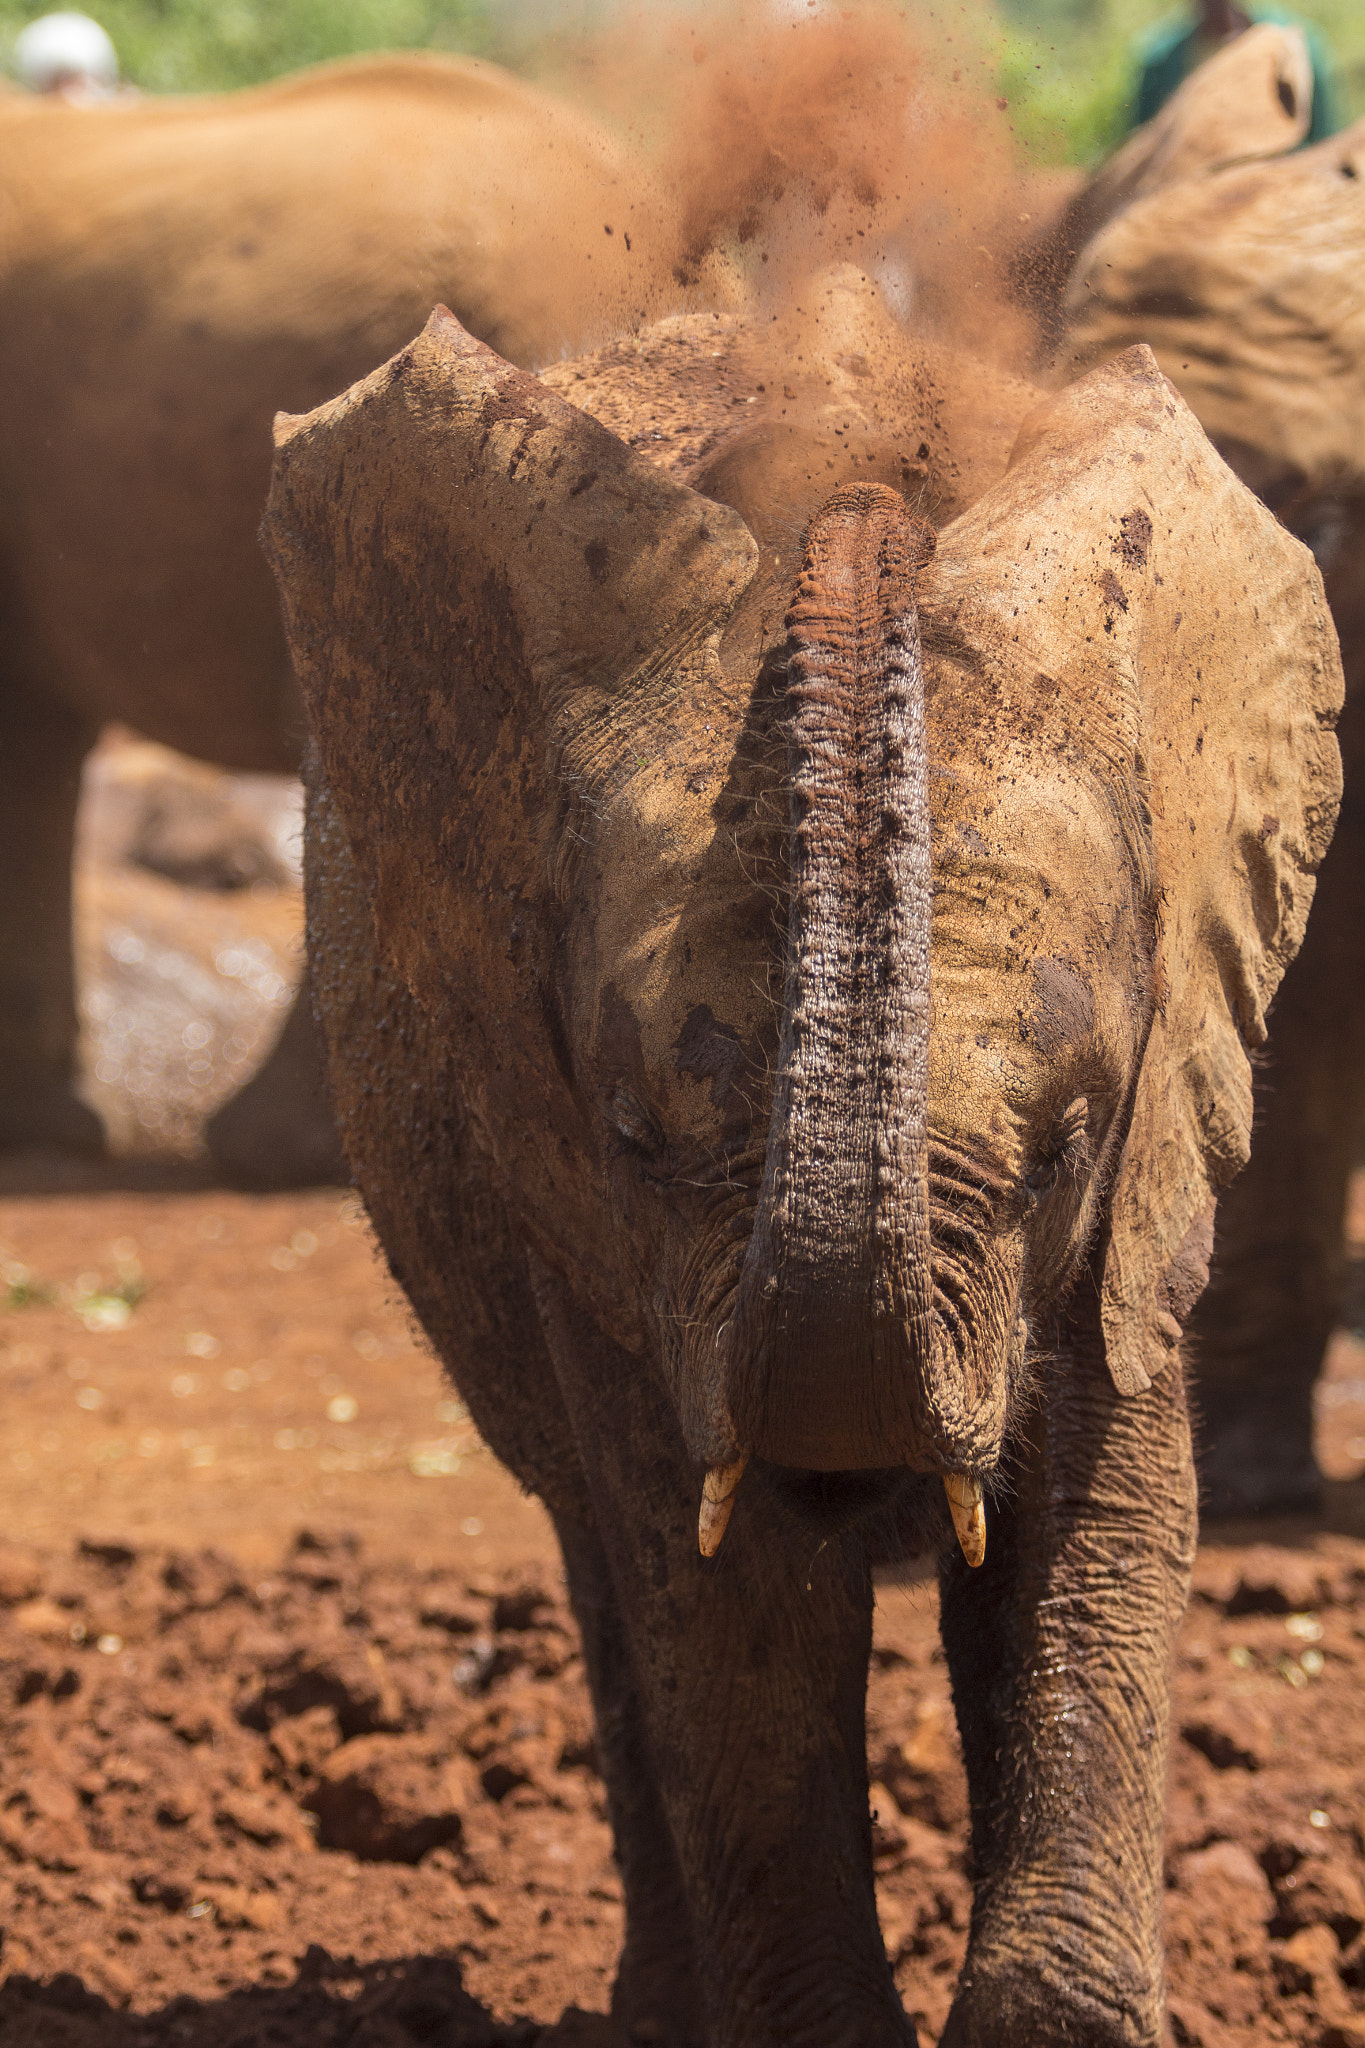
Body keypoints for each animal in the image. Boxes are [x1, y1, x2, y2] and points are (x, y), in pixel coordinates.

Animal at [258, 292, 1342, 2048]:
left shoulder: (1148, 1177)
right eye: (634, 1139)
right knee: (612, 1576)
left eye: (1066, 1147)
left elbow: (1099, 1520)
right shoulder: (590, 1223)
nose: (860, 527)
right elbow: (730, 1594)